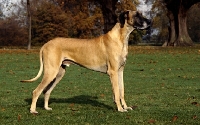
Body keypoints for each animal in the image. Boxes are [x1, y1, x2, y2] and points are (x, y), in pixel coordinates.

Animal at [21, 10, 151, 114]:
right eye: (137, 15)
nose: (149, 22)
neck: (121, 37)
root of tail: (46, 44)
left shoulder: (120, 71)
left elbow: (121, 91)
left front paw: (125, 107)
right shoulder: (113, 72)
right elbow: (117, 92)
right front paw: (120, 109)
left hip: (58, 73)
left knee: (46, 91)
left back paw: (46, 108)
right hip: (51, 72)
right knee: (36, 91)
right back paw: (33, 110)